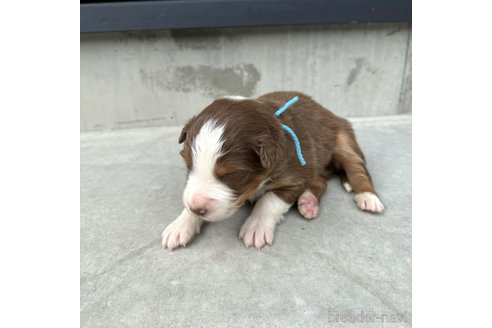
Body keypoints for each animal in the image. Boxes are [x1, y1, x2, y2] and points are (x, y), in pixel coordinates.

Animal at [161, 91, 384, 250]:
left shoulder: (294, 177)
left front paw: (256, 227)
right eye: (188, 165)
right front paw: (181, 224)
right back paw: (308, 202)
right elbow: (188, 196)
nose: (197, 208)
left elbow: (269, 201)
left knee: (358, 170)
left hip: (344, 140)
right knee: (320, 181)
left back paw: (368, 197)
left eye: (234, 175)